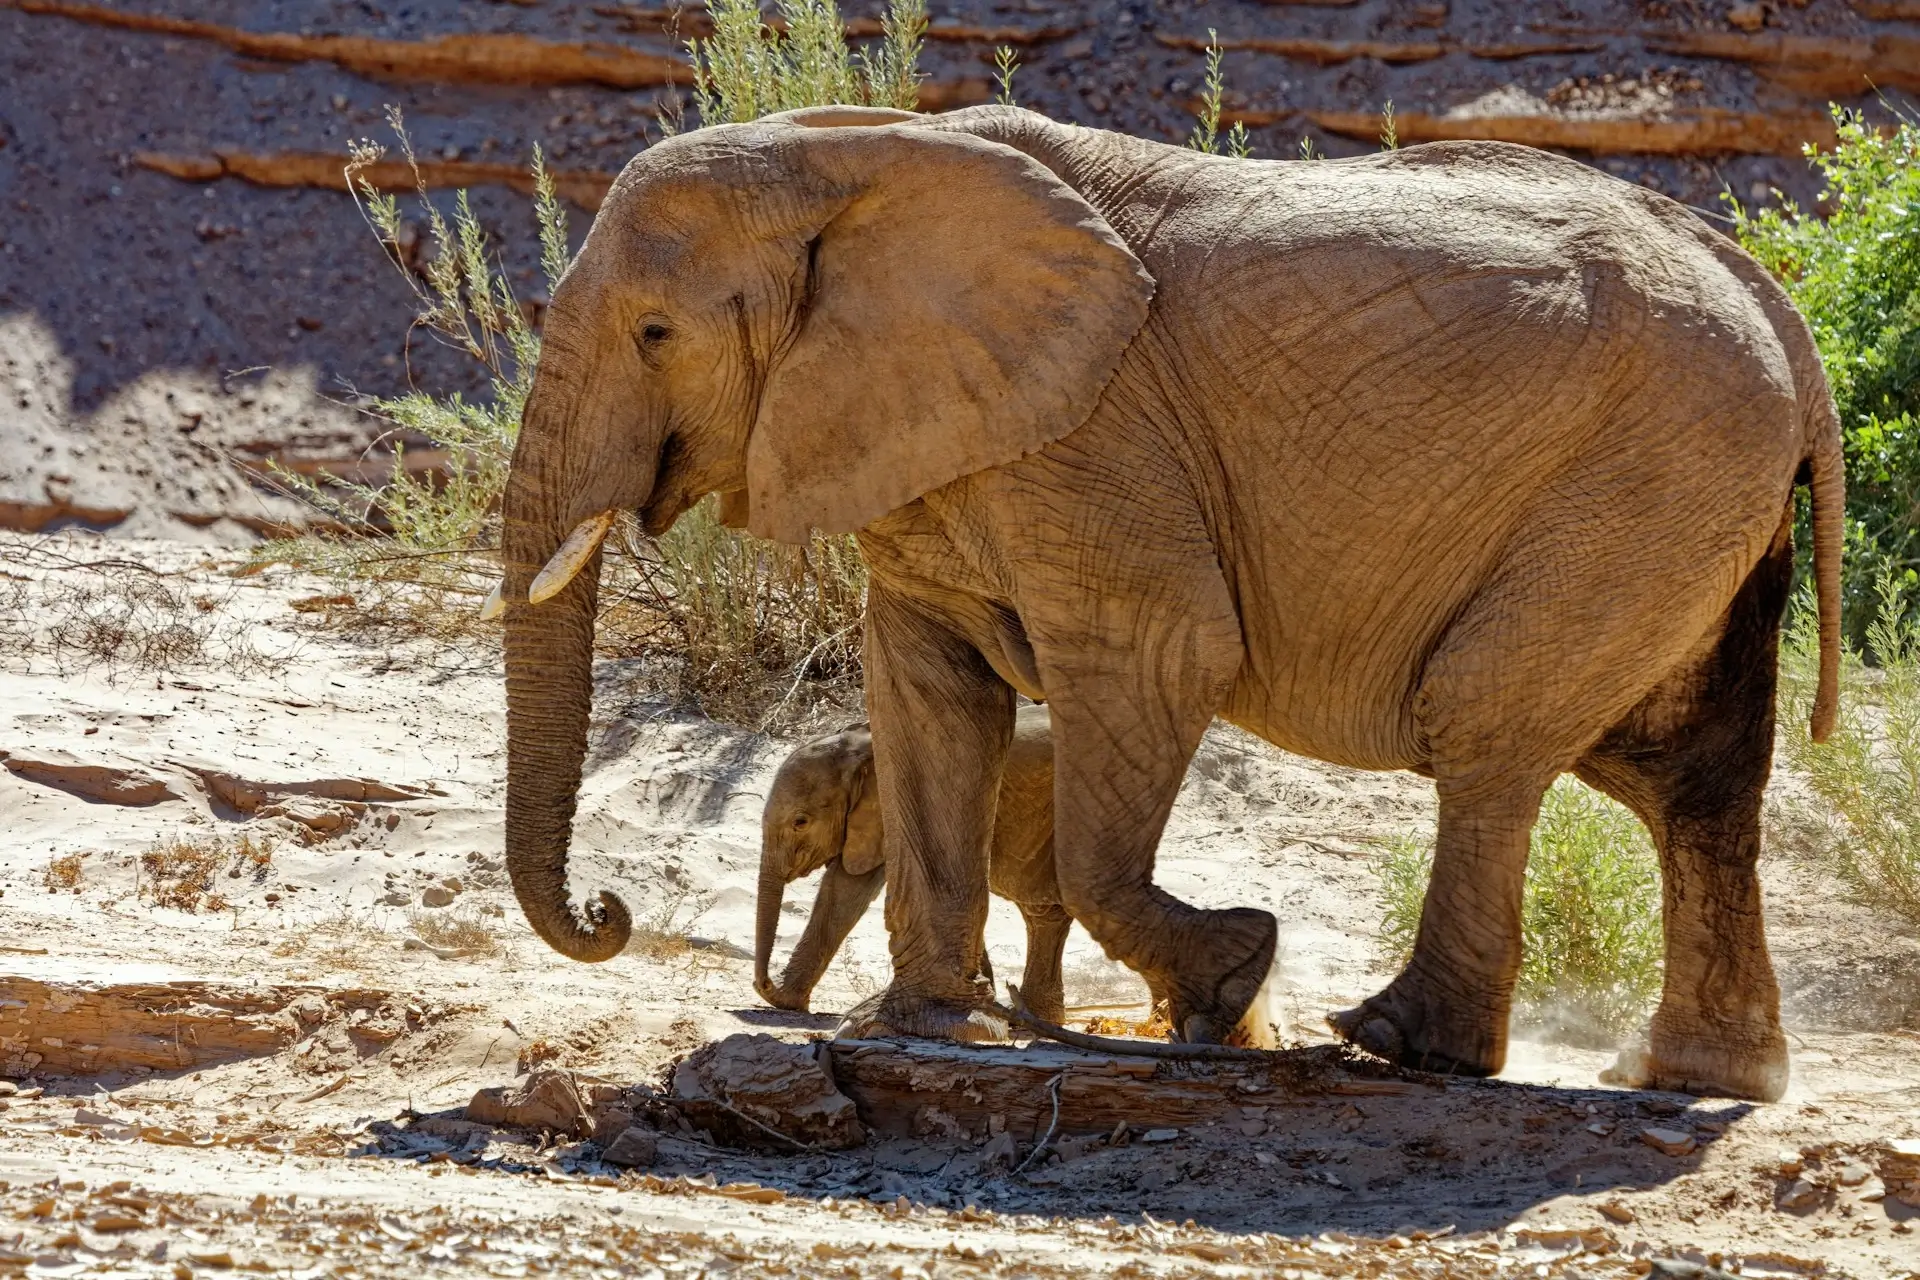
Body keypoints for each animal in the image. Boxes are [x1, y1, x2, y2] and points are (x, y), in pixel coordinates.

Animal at [753, 703, 1071, 1021]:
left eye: (800, 822)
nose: (764, 982)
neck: (859, 743)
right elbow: (844, 886)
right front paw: (785, 998)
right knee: (1042, 914)